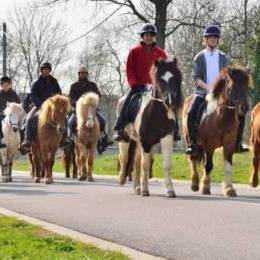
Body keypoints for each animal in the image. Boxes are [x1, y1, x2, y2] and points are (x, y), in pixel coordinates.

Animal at [118, 58, 183, 197]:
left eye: (174, 78)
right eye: (160, 80)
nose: (170, 101)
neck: (157, 112)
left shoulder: (166, 139)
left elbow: (166, 165)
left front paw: (170, 190)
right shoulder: (146, 141)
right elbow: (145, 165)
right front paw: (145, 190)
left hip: (137, 142)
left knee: (135, 163)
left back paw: (137, 188)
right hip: (125, 139)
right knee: (125, 158)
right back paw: (122, 179)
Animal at [182, 65, 251, 197]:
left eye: (247, 87)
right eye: (233, 87)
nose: (244, 108)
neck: (221, 117)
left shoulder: (229, 145)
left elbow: (228, 166)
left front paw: (229, 189)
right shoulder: (210, 145)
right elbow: (208, 165)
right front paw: (205, 187)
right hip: (190, 139)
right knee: (192, 158)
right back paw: (194, 184)